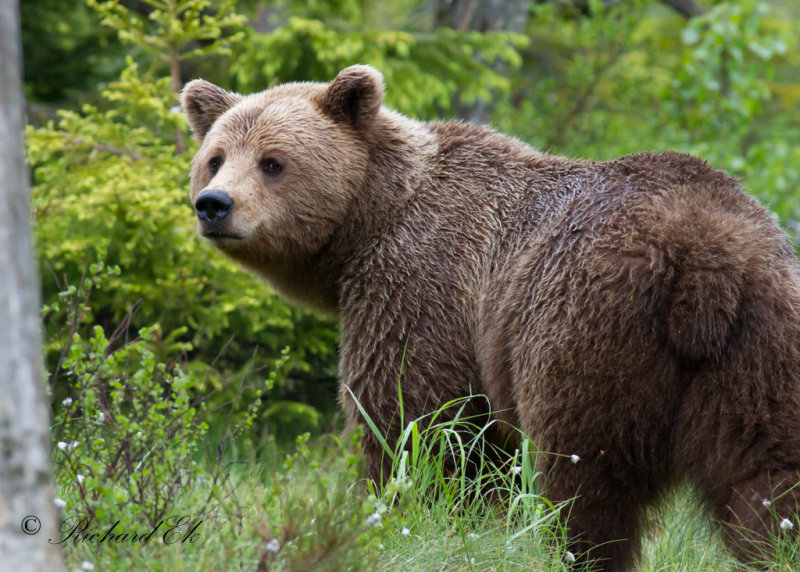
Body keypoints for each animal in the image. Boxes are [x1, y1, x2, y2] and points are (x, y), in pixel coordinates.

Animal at [181, 66, 800, 568]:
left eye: (273, 162)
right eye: (214, 158)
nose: (214, 204)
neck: (369, 223)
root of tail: (702, 256)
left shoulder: (421, 284)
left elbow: (413, 423)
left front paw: (397, 514)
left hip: (580, 328)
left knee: (584, 478)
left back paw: (576, 553)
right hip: (762, 342)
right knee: (769, 476)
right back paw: (776, 551)